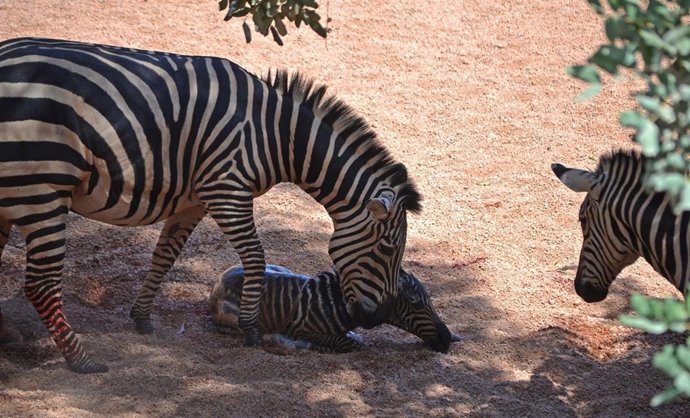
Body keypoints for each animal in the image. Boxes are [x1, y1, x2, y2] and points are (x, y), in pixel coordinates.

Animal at [0, 38, 421, 373]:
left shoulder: (195, 199)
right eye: (388, 249)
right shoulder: (227, 190)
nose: (376, 318)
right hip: (43, 189)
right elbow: (255, 257)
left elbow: (165, 256)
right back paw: (80, 360)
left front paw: (142, 318)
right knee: (40, 284)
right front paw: (250, 328)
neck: (276, 136)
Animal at [209, 264, 462, 353]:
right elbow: (350, 343)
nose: (447, 338)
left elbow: (353, 338)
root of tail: (220, 278)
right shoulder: (304, 329)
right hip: (233, 317)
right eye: (416, 303)